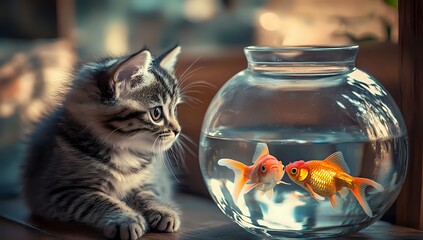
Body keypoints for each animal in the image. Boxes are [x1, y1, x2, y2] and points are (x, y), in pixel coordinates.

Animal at [22, 45, 183, 240]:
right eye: (157, 114)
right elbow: (99, 201)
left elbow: (148, 194)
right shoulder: (61, 190)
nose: (177, 130)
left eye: (175, 110)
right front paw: (125, 219)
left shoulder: (151, 180)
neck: (125, 152)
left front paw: (162, 209)